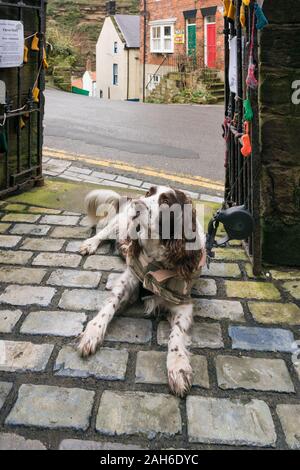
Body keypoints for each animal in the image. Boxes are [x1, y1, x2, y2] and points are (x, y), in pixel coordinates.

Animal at [77, 185, 206, 394]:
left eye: (165, 201)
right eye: (148, 193)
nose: (137, 203)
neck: (157, 260)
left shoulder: (183, 302)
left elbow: (176, 335)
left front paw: (178, 366)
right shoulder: (130, 278)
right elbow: (109, 306)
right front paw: (92, 332)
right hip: (120, 222)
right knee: (104, 232)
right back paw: (91, 244)